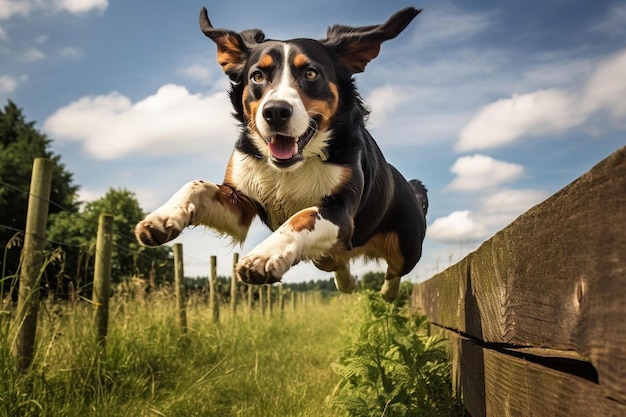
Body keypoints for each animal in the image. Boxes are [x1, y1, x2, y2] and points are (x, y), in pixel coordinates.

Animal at [134, 5, 426, 300]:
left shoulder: (340, 208)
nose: (275, 111)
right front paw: (162, 218)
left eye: (311, 73)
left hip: (408, 246)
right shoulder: (240, 203)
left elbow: (302, 217)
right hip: (330, 255)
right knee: (336, 262)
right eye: (257, 76)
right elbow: (196, 185)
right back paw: (347, 283)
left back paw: (387, 292)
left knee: (395, 271)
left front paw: (264, 256)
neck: (294, 165)